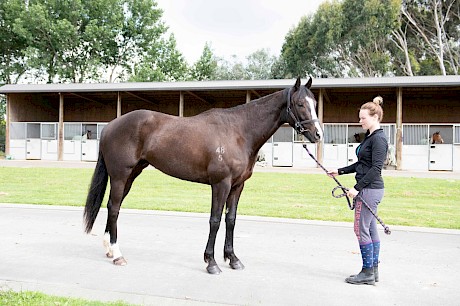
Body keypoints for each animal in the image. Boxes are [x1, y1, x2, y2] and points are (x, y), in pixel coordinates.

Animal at [83, 77, 324, 274]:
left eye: (315, 104)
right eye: (300, 104)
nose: (318, 134)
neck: (239, 132)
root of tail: (111, 125)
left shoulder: (237, 186)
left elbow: (231, 219)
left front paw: (233, 259)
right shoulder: (221, 184)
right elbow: (215, 220)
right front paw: (212, 262)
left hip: (131, 176)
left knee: (112, 206)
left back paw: (109, 249)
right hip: (120, 176)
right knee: (114, 208)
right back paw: (118, 255)